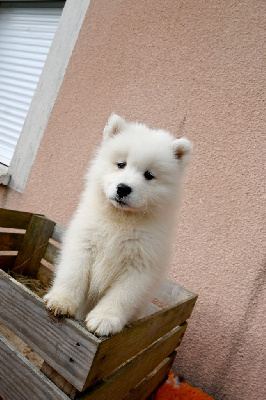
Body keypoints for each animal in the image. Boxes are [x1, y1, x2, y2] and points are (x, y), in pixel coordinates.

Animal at [44, 114, 192, 336]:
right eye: (121, 164)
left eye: (149, 175)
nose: (123, 188)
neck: (121, 220)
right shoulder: (83, 244)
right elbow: (73, 274)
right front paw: (61, 300)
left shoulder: (139, 264)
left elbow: (121, 296)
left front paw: (104, 320)